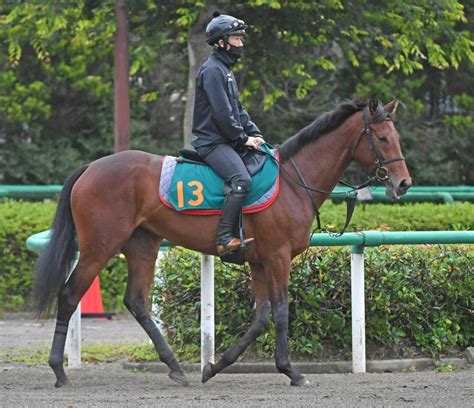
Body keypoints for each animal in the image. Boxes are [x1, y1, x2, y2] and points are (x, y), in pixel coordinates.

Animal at [33, 95, 412, 386]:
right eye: (381, 138)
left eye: (396, 135)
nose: (404, 183)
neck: (293, 181)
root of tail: (91, 168)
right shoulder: (278, 257)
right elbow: (281, 313)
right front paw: (291, 371)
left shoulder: (259, 261)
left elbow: (259, 319)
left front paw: (214, 366)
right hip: (99, 246)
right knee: (70, 294)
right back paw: (58, 370)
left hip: (143, 245)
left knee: (137, 302)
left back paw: (175, 368)